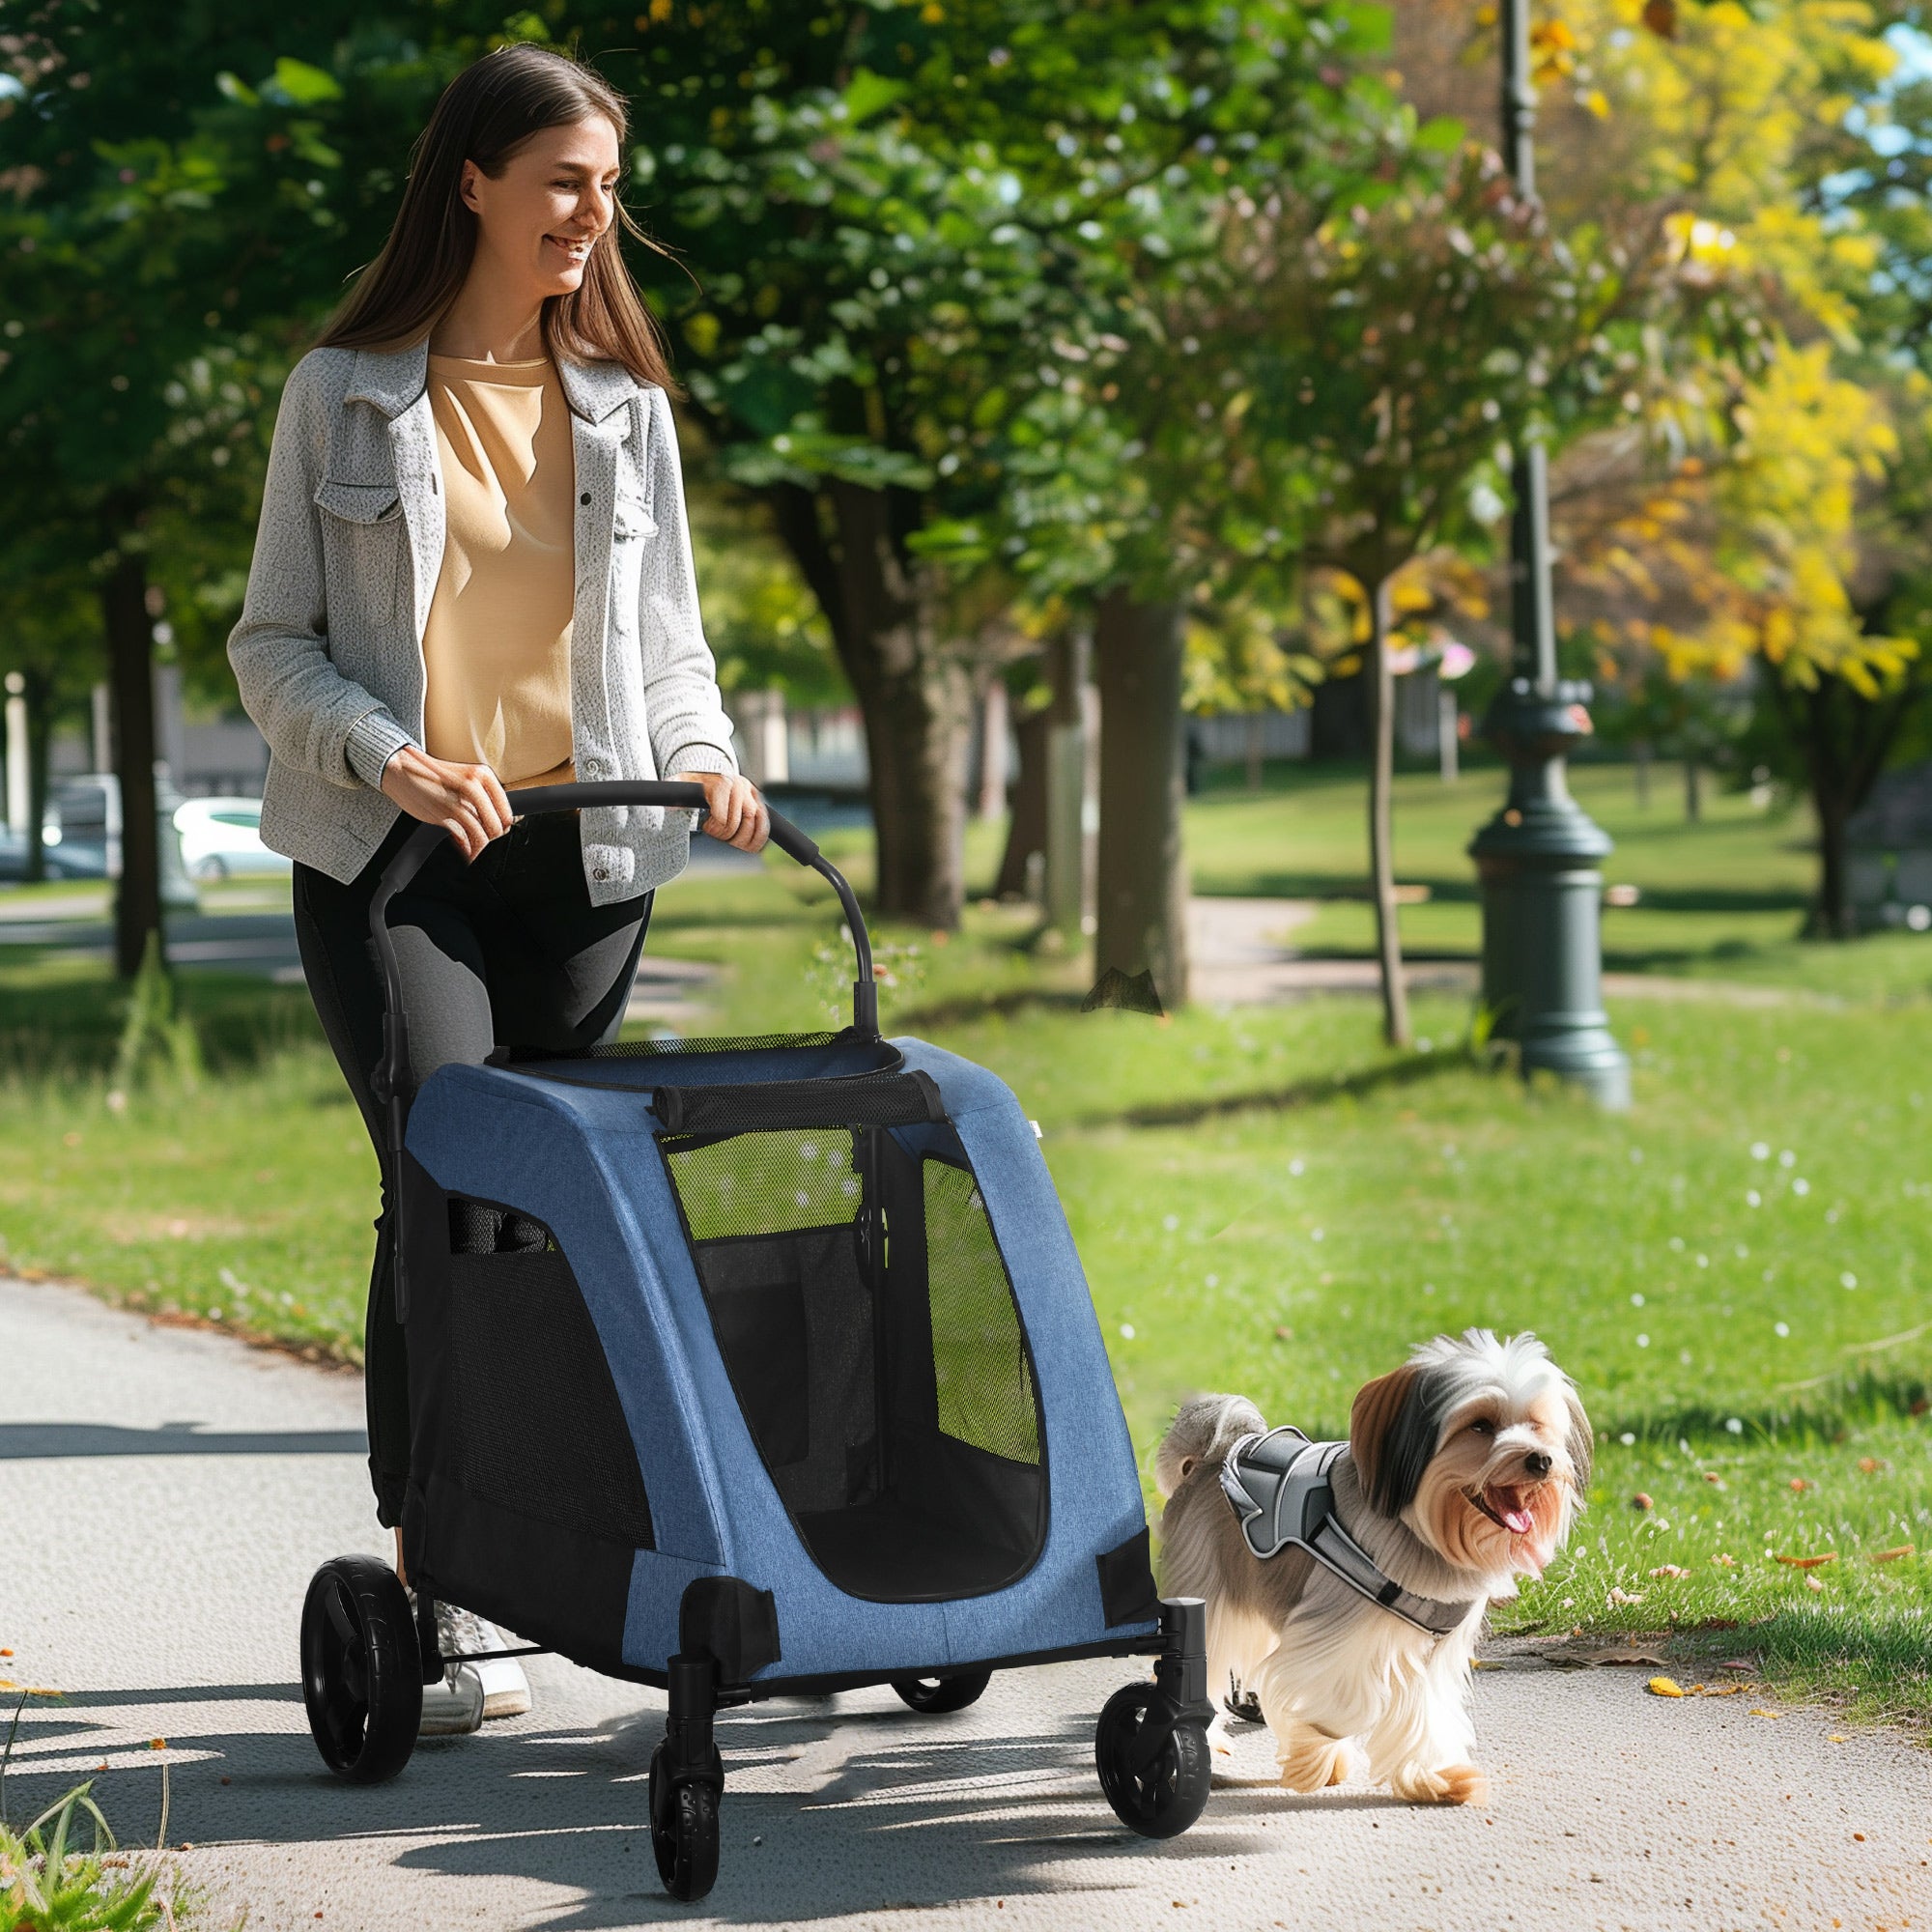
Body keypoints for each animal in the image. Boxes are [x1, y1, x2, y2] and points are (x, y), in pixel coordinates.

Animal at [1159, 1329, 1584, 1793]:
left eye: (1537, 1424)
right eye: (1481, 1425)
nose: (1541, 1459)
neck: (1424, 1532)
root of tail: (1211, 1459)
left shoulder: (1432, 1656)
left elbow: (1426, 1713)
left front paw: (1435, 1774)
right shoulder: (1328, 1636)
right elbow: (1341, 1704)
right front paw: (1313, 1755)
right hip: (1213, 1603)